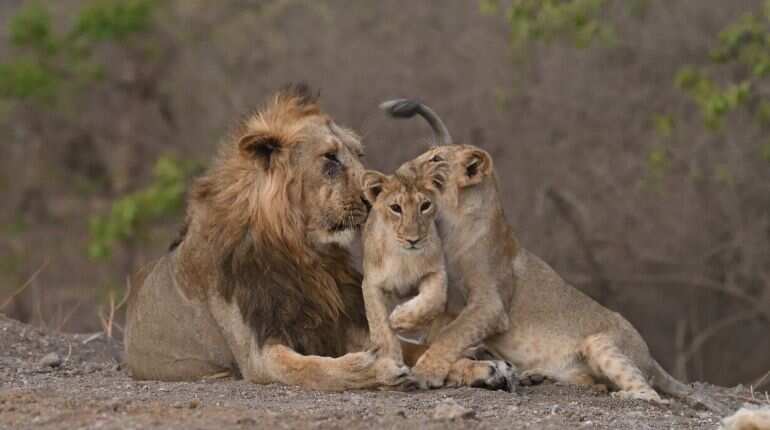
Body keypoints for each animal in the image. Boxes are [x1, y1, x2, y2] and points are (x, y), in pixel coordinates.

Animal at [382, 99, 726, 411]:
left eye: (436, 158)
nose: (401, 169)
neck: (450, 222)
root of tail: (650, 356)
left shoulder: (490, 304)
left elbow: (451, 336)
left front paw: (425, 371)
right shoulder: (445, 297)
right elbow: (435, 322)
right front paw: (401, 318)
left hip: (600, 343)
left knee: (651, 394)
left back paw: (624, 396)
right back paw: (535, 374)